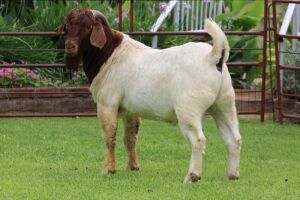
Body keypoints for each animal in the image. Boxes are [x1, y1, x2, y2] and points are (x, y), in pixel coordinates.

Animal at [58, 8, 241, 183]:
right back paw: (232, 175)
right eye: (67, 27)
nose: (70, 47)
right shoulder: (129, 110)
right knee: (234, 138)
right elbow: (130, 137)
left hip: (188, 110)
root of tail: (213, 57)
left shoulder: (107, 104)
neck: (110, 55)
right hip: (224, 105)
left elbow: (109, 135)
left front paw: (108, 169)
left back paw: (192, 176)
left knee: (198, 139)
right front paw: (132, 167)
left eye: (88, 27)